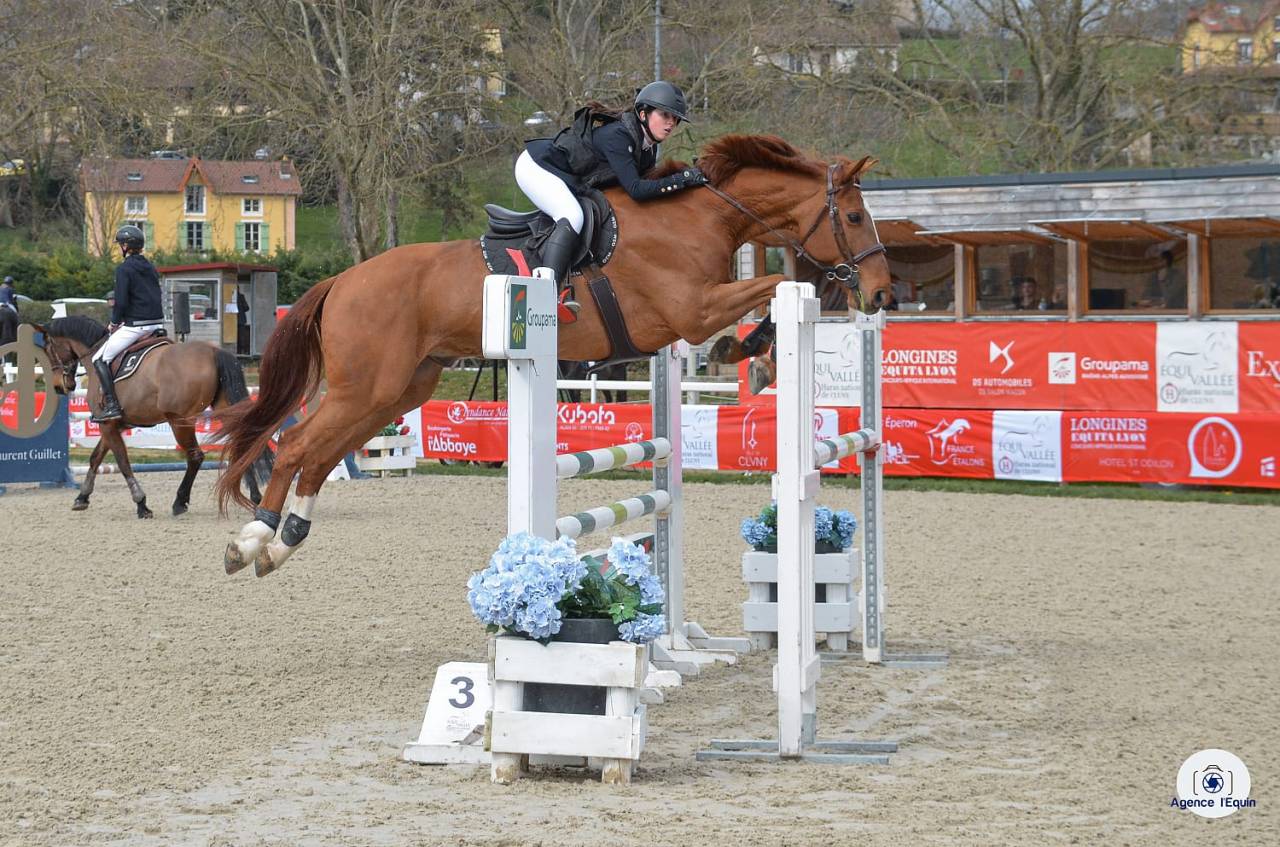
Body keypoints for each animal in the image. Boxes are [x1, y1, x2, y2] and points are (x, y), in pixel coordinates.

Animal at [34, 316, 271, 518]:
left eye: (48, 349)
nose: (59, 386)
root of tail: (213, 351)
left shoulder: (108, 424)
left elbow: (122, 462)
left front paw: (141, 504)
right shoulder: (112, 425)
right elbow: (96, 457)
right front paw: (82, 497)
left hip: (179, 420)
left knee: (195, 456)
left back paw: (180, 502)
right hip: (224, 410)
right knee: (243, 445)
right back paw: (256, 497)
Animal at [214, 134, 893, 576]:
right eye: (855, 216)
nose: (884, 294)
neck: (700, 218)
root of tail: (342, 281)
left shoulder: (693, 311)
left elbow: (771, 293)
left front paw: (752, 350)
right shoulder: (690, 311)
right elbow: (768, 289)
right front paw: (749, 350)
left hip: (400, 389)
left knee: (320, 455)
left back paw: (280, 543)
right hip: (368, 386)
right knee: (298, 446)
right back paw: (252, 541)